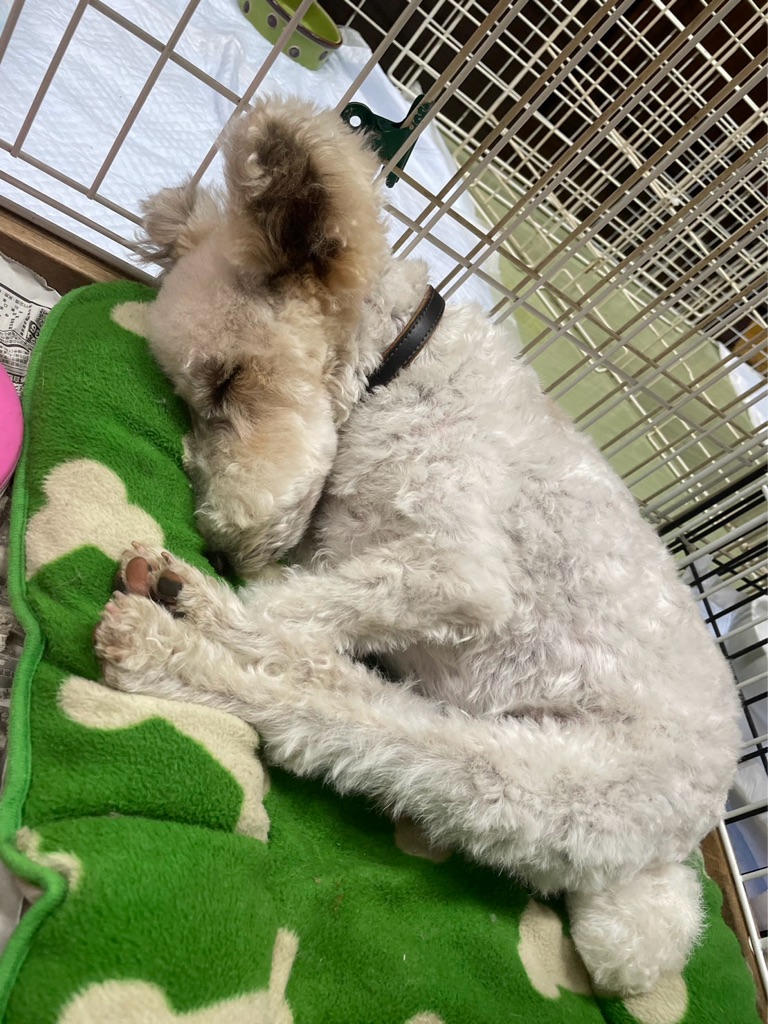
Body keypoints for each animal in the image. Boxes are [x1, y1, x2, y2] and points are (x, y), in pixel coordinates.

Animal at [95, 97, 740, 996]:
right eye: (189, 400)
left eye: (228, 381)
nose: (220, 535)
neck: (397, 370)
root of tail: (681, 842)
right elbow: (306, 590)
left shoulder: (454, 568)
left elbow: (290, 604)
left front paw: (225, 600)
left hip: (540, 780)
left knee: (331, 712)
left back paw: (172, 633)